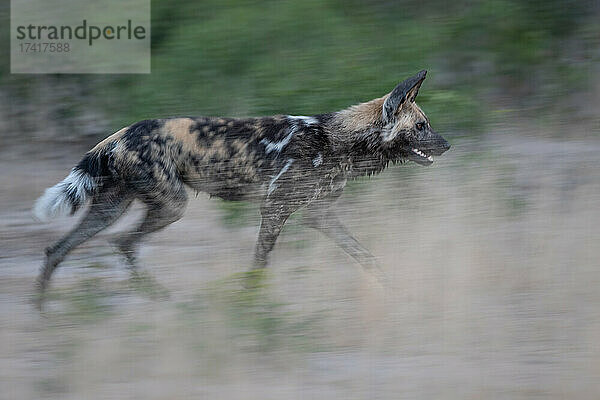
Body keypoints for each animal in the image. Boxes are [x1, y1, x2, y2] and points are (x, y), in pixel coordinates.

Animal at [31, 70, 446, 290]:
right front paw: (250, 303)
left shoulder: (320, 216)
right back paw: (159, 299)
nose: (448, 144)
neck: (336, 140)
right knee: (122, 243)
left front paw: (393, 289)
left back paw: (45, 315)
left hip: (111, 208)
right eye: (421, 127)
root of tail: (119, 134)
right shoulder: (275, 210)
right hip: (171, 207)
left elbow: (366, 257)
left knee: (59, 250)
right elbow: (258, 265)